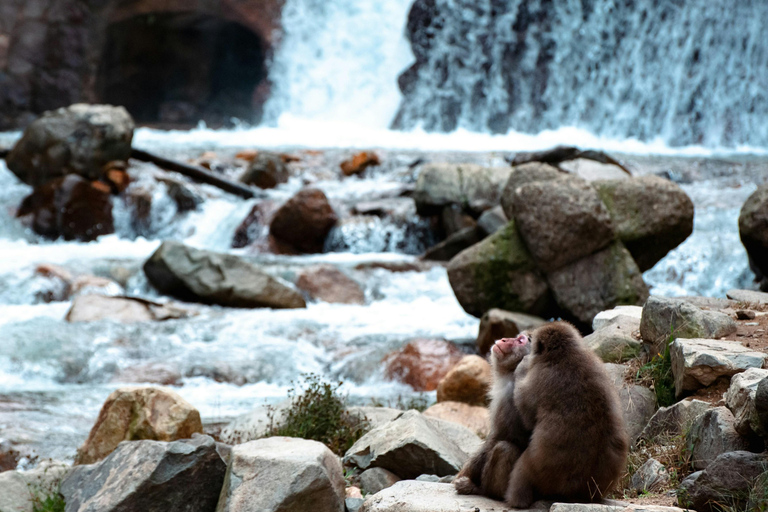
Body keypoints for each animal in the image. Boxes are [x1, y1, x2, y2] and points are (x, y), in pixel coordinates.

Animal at [453, 334, 532, 500]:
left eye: (520, 341)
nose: (503, 339)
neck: (512, 371)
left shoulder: (508, 396)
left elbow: (498, 437)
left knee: (504, 449)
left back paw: (484, 491)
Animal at [505, 321, 629, 508]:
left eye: (532, 338)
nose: (525, 335)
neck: (565, 353)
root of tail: (578, 492)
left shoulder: (539, 376)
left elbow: (527, 412)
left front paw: (523, 364)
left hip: (539, 471)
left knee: (521, 470)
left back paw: (516, 500)